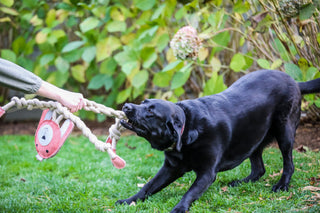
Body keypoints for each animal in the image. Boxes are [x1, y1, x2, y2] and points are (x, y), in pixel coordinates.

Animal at [116, 70, 320, 213]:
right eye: (143, 102)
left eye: (151, 112)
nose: (126, 106)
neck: (188, 130)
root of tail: (294, 81)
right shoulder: (170, 168)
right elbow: (149, 186)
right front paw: (128, 200)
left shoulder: (207, 173)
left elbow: (189, 192)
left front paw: (179, 208)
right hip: (252, 136)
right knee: (259, 168)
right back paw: (242, 182)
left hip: (284, 132)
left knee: (288, 163)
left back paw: (282, 185)